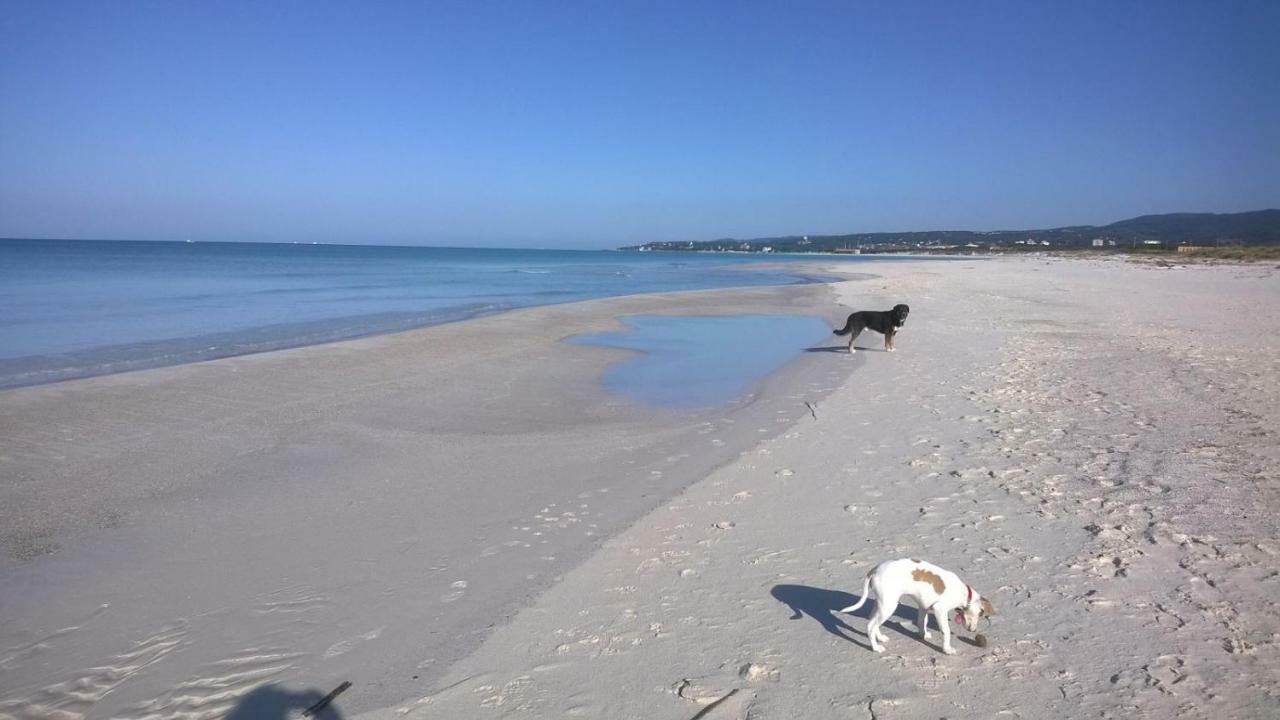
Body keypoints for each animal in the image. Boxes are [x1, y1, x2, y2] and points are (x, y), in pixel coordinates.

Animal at [844, 558, 993, 653]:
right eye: (981, 613)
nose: (974, 631)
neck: (964, 593)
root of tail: (875, 570)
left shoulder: (923, 606)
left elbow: (922, 621)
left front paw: (923, 635)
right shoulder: (940, 609)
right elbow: (946, 631)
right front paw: (947, 649)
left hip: (881, 604)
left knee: (873, 621)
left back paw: (880, 638)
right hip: (888, 606)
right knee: (871, 626)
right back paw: (876, 648)